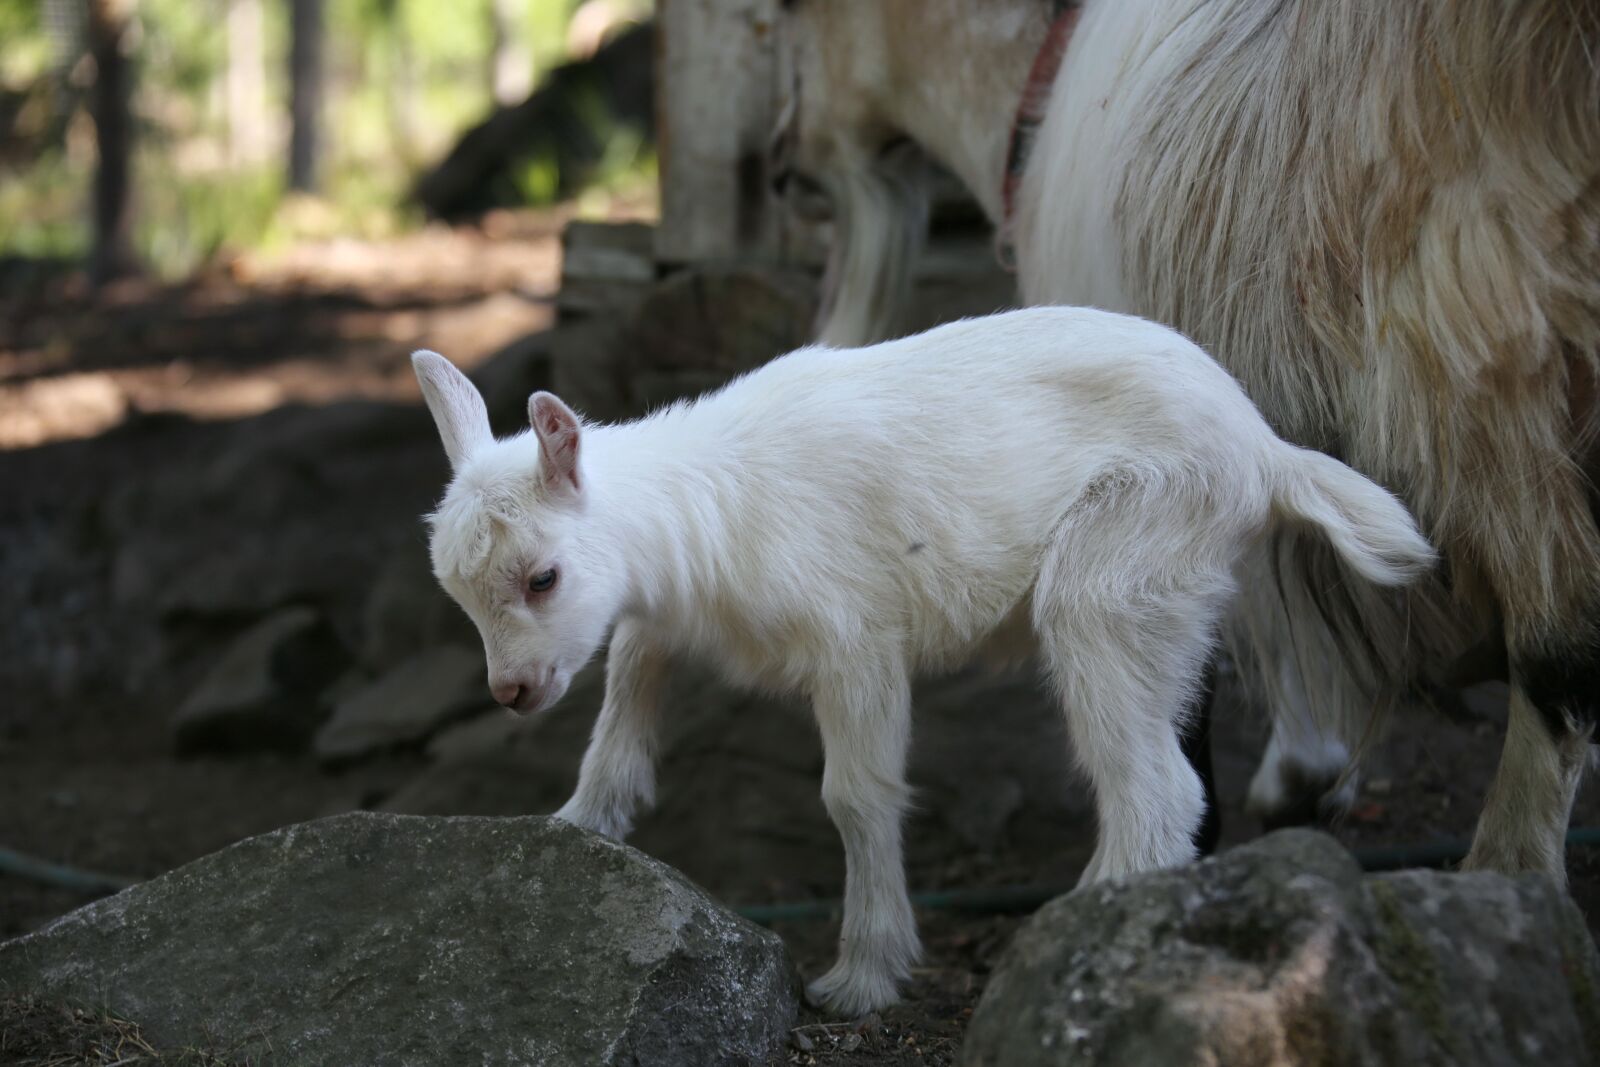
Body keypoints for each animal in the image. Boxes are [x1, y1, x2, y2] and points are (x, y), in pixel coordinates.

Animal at [774, 0, 1600, 876]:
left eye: (792, 16)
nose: (780, 164)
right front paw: (1305, 770)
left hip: (1487, 359)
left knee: (1560, 659)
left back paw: (1506, 872)